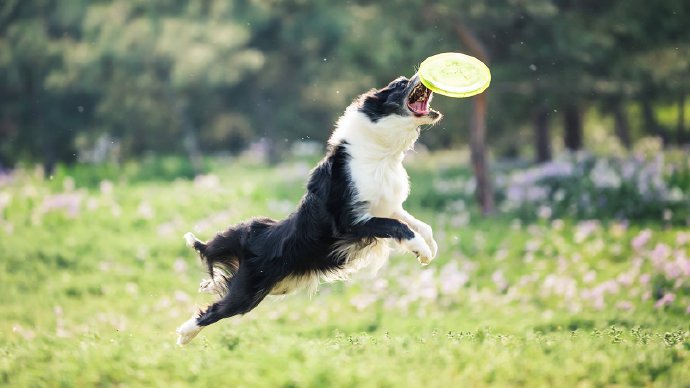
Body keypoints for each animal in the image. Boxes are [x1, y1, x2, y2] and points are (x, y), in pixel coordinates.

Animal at [176, 73, 440, 346]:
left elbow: (418, 225)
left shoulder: (387, 206)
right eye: (400, 84)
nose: (423, 74)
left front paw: (430, 246)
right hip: (249, 291)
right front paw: (422, 251)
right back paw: (184, 334)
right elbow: (398, 226)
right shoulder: (349, 223)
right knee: (216, 310)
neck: (381, 152)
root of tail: (253, 238)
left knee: (220, 289)